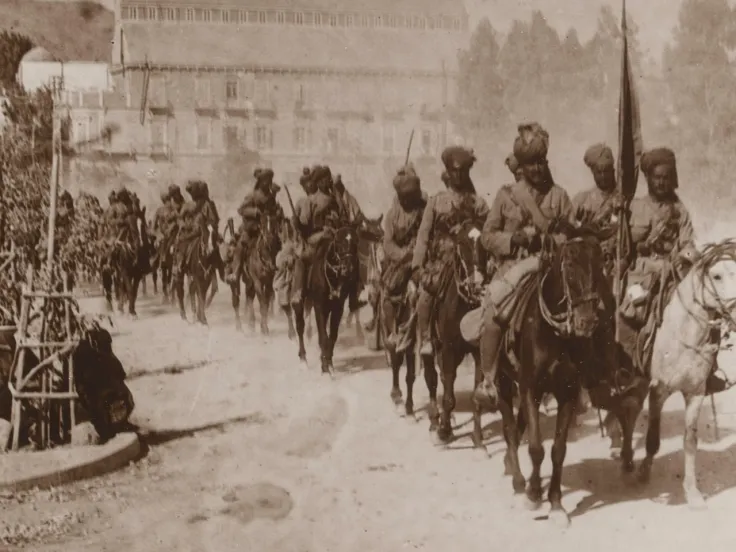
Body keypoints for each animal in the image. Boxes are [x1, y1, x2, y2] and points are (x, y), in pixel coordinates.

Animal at [294, 222, 362, 374]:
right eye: (339, 241)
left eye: (356, 241)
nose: (349, 268)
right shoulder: (319, 305)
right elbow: (323, 337)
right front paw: (325, 368)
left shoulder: (338, 307)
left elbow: (332, 336)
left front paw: (328, 362)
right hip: (300, 300)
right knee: (300, 326)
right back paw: (303, 359)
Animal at [486, 230, 612, 528]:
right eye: (569, 268)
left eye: (600, 267)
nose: (587, 322)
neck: (554, 334)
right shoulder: (530, 387)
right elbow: (535, 447)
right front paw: (533, 495)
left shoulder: (567, 392)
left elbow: (558, 450)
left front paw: (555, 504)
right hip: (504, 383)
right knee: (510, 430)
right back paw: (519, 482)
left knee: (519, 426)